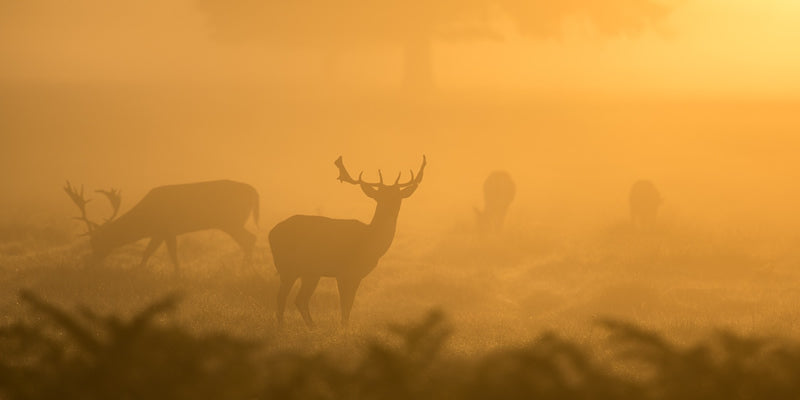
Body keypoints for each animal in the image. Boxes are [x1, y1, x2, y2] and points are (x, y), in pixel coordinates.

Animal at [66, 180, 260, 270]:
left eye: (96, 242)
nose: (88, 264)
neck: (146, 220)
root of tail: (254, 191)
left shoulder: (167, 228)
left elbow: (170, 253)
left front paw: (177, 275)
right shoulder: (159, 232)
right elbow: (149, 252)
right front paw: (139, 270)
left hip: (231, 221)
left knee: (249, 239)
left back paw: (244, 269)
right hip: (231, 222)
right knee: (249, 239)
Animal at [270, 155, 424, 326]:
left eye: (398, 197)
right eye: (380, 197)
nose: (390, 210)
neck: (370, 241)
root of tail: (271, 233)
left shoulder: (356, 275)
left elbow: (348, 305)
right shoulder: (345, 272)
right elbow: (345, 305)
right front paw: (344, 327)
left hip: (309, 272)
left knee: (300, 299)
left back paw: (312, 327)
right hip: (288, 266)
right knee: (282, 297)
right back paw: (283, 326)